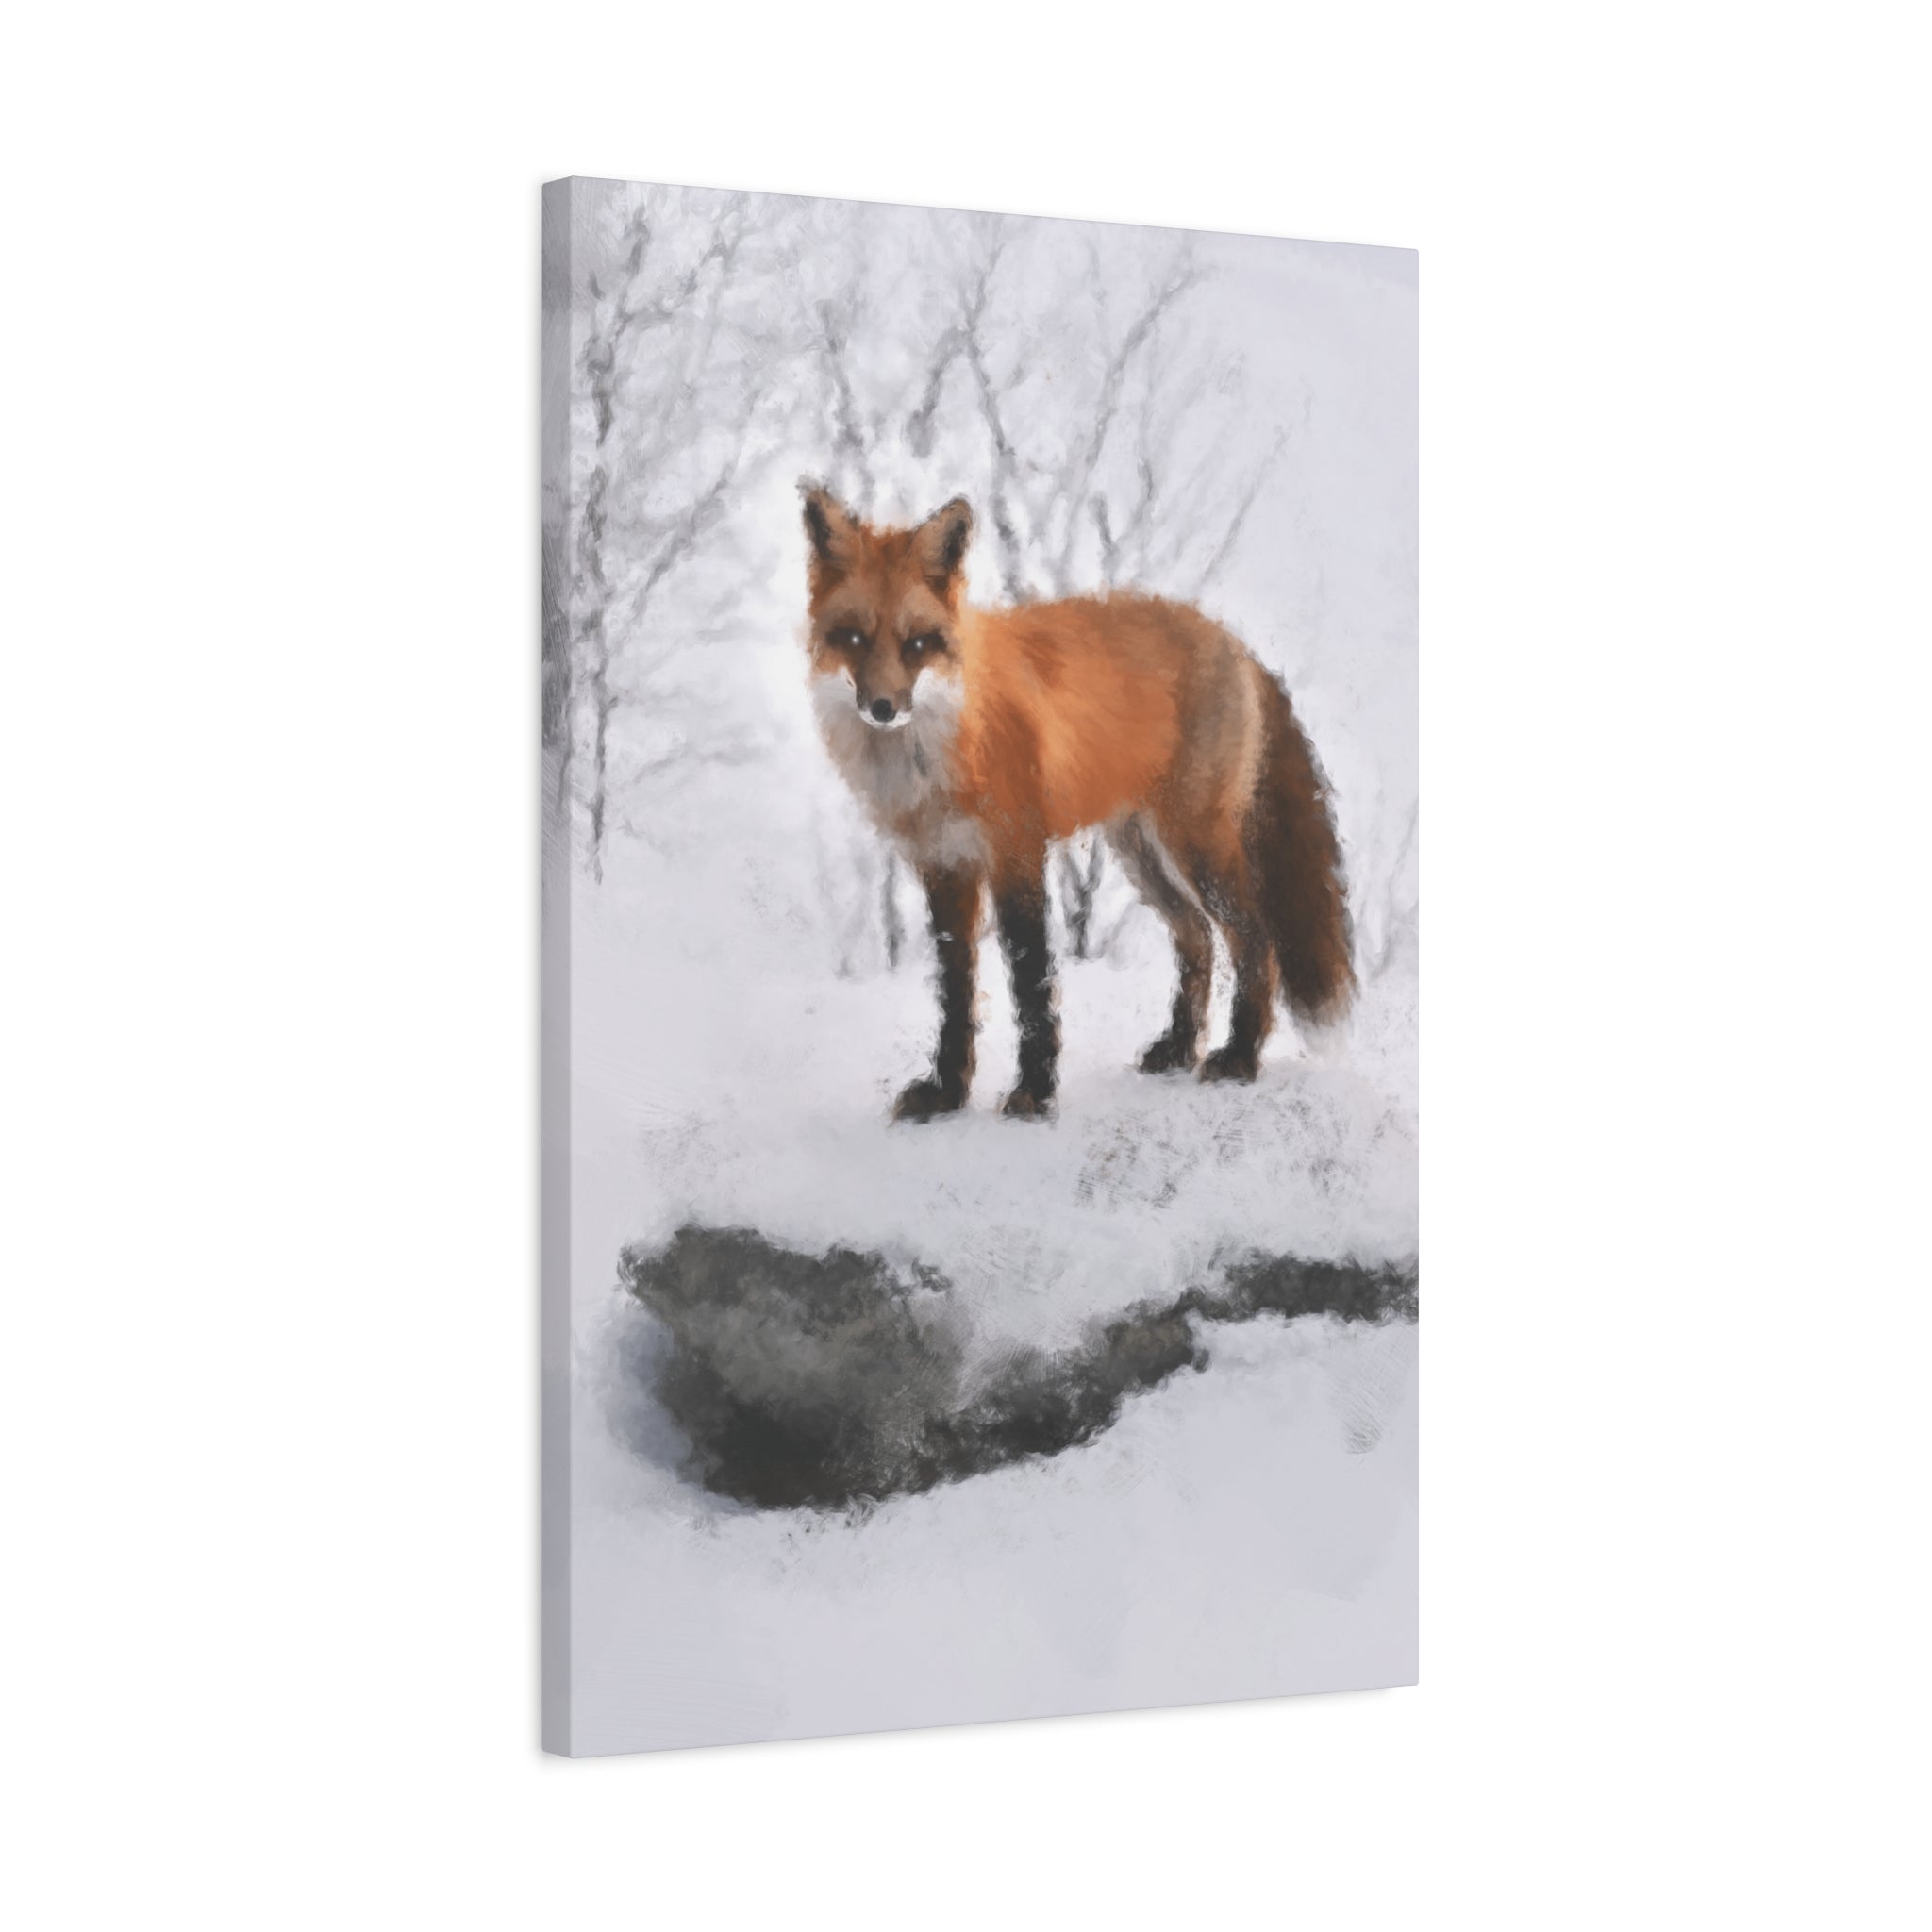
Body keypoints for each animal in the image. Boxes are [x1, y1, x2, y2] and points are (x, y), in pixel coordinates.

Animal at [802, 483, 1354, 1122]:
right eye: (855, 638)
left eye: (916, 644)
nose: (883, 708)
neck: (941, 748)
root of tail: (1234, 641)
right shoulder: (944, 866)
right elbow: (956, 991)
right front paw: (947, 1093)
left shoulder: (1016, 852)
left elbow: (1030, 979)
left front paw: (1034, 1091)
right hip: (1142, 854)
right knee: (1197, 939)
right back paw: (1179, 1047)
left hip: (1196, 847)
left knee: (1254, 940)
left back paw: (1239, 1057)